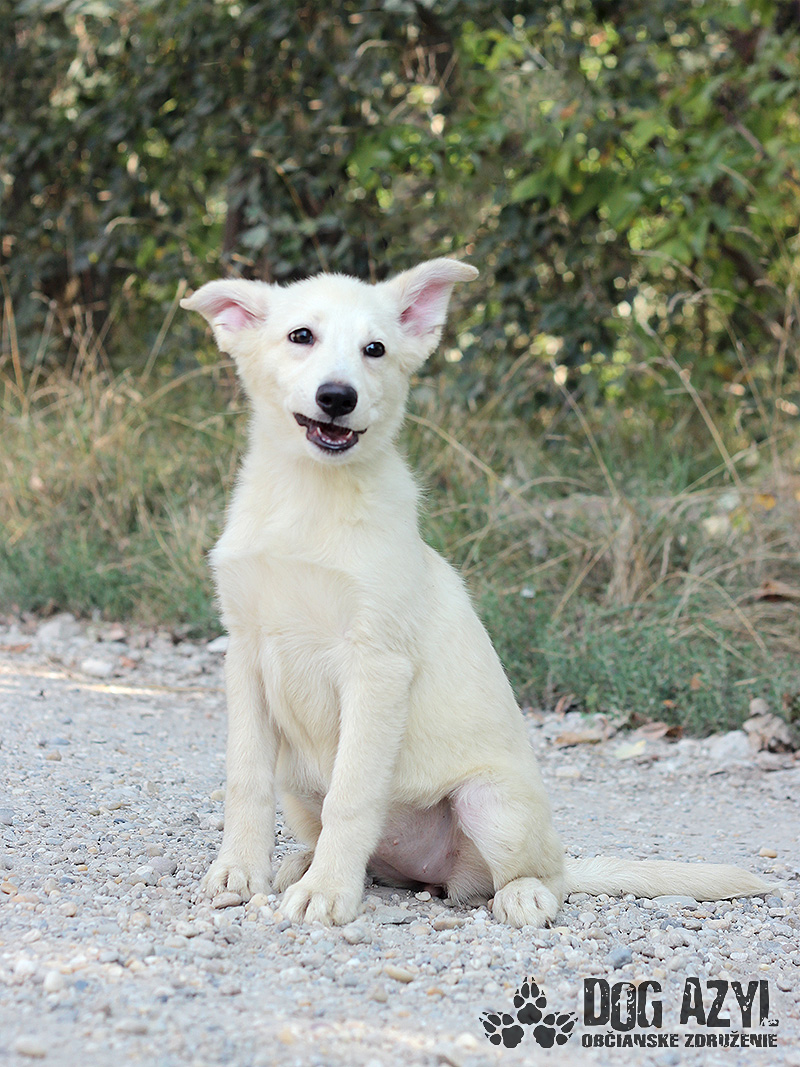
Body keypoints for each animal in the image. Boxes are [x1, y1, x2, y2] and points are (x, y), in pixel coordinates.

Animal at [181, 258, 771, 927]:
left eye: (374, 349)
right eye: (300, 336)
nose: (338, 397)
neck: (309, 496)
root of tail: (427, 872)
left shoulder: (376, 664)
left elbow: (352, 796)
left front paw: (328, 893)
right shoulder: (246, 653)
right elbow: (245, 781)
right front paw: (238, 872)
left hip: (495, 803)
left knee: (535, 875)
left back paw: (520, 894)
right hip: (300, 784)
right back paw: (304, 863)